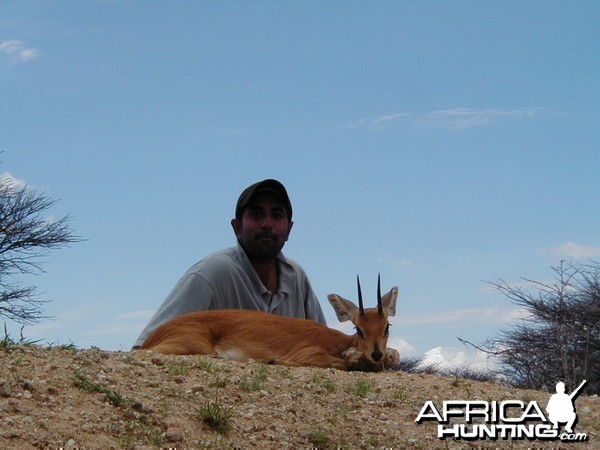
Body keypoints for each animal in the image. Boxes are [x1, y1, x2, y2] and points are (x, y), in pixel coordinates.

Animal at [142, 276, 398, 370]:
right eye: (358, 328)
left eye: (386, 326)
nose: (376, 354)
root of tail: (154, 335)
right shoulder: (306, 354)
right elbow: (340, 363)